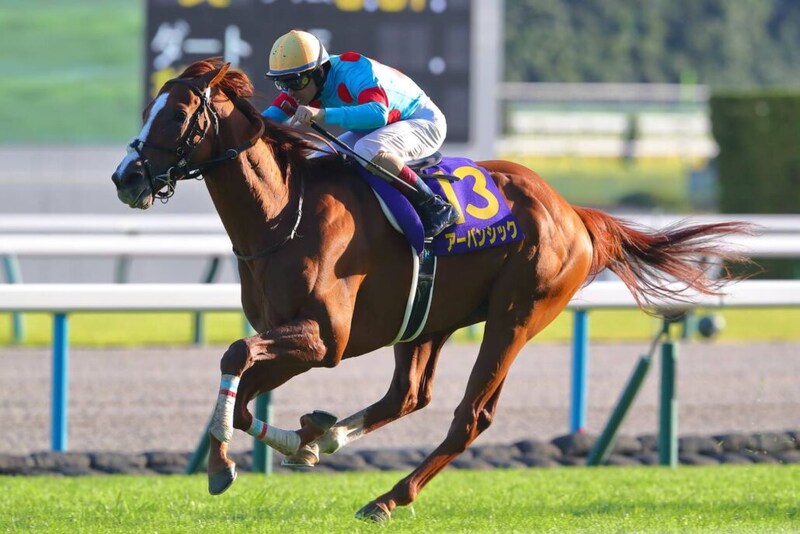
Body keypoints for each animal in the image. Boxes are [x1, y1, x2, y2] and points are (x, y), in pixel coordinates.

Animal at [111, 58, 747, 523]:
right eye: (144, 111)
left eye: (177, 116)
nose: (126, 178)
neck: (282, 215)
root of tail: (572, 211)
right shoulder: (293, 337)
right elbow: (242, 398)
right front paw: (298, 443)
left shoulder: (324, 340)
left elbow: (234, 355)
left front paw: (222, 465)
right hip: (428, 321)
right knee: (408, 396)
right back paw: (327, 434)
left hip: (516, 316)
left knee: (470, 417)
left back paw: (386, 498)